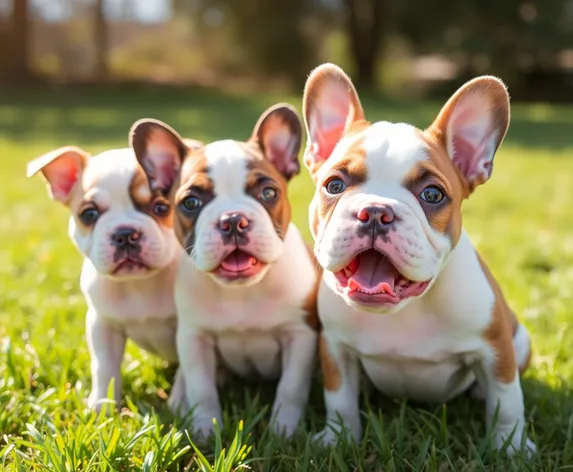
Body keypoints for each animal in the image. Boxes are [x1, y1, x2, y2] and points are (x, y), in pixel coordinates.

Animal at [26, 141, 202, 412]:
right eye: (89, 214)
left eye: (161, 207)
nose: (125, 233)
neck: (141, 283)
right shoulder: (102, 325)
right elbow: (104, 368)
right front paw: (102, 406)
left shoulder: (189, 329)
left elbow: (187, 370)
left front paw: (182, 405)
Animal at [128, 104, 318, 438]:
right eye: (191, 202)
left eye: (269, 193)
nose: (232, 220)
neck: (241, 292)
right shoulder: (195, 339)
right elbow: (202, 389)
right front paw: (205, 430)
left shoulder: (301, 336)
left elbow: (291, 388)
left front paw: (284, 429)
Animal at [302, 64, 536, 456]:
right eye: (334, 185)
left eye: (432, 194)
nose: (376, 212)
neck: (404, 310)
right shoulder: (335, 349)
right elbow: (339, 400)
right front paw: (338, 438)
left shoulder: (496, 349)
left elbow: (507, 402)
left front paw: (511, 447)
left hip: (521, 343)